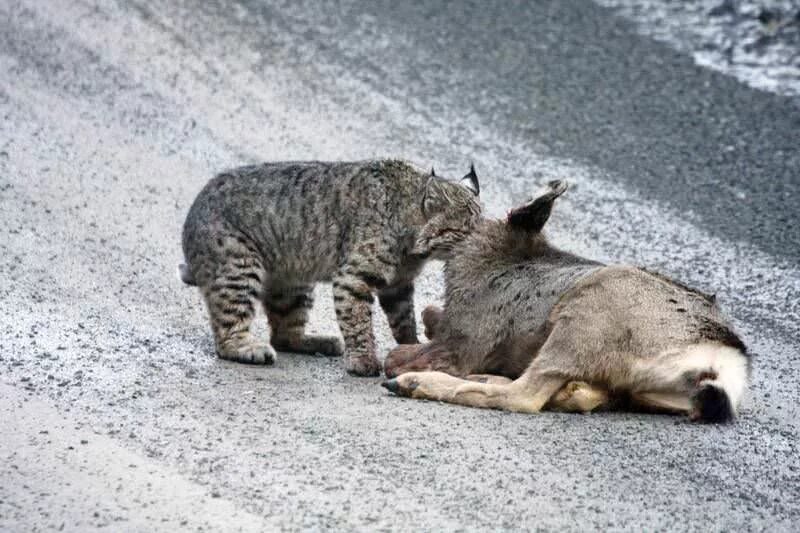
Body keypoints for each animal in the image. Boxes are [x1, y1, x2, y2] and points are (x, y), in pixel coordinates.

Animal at [384, 181, 748, 422]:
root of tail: (722, 369)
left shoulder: (468, 338)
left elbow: (403, 353)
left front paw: (402, 366)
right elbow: (429, 314)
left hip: (588, 314)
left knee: (525, 396)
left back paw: (411, 384)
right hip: (643, 389)